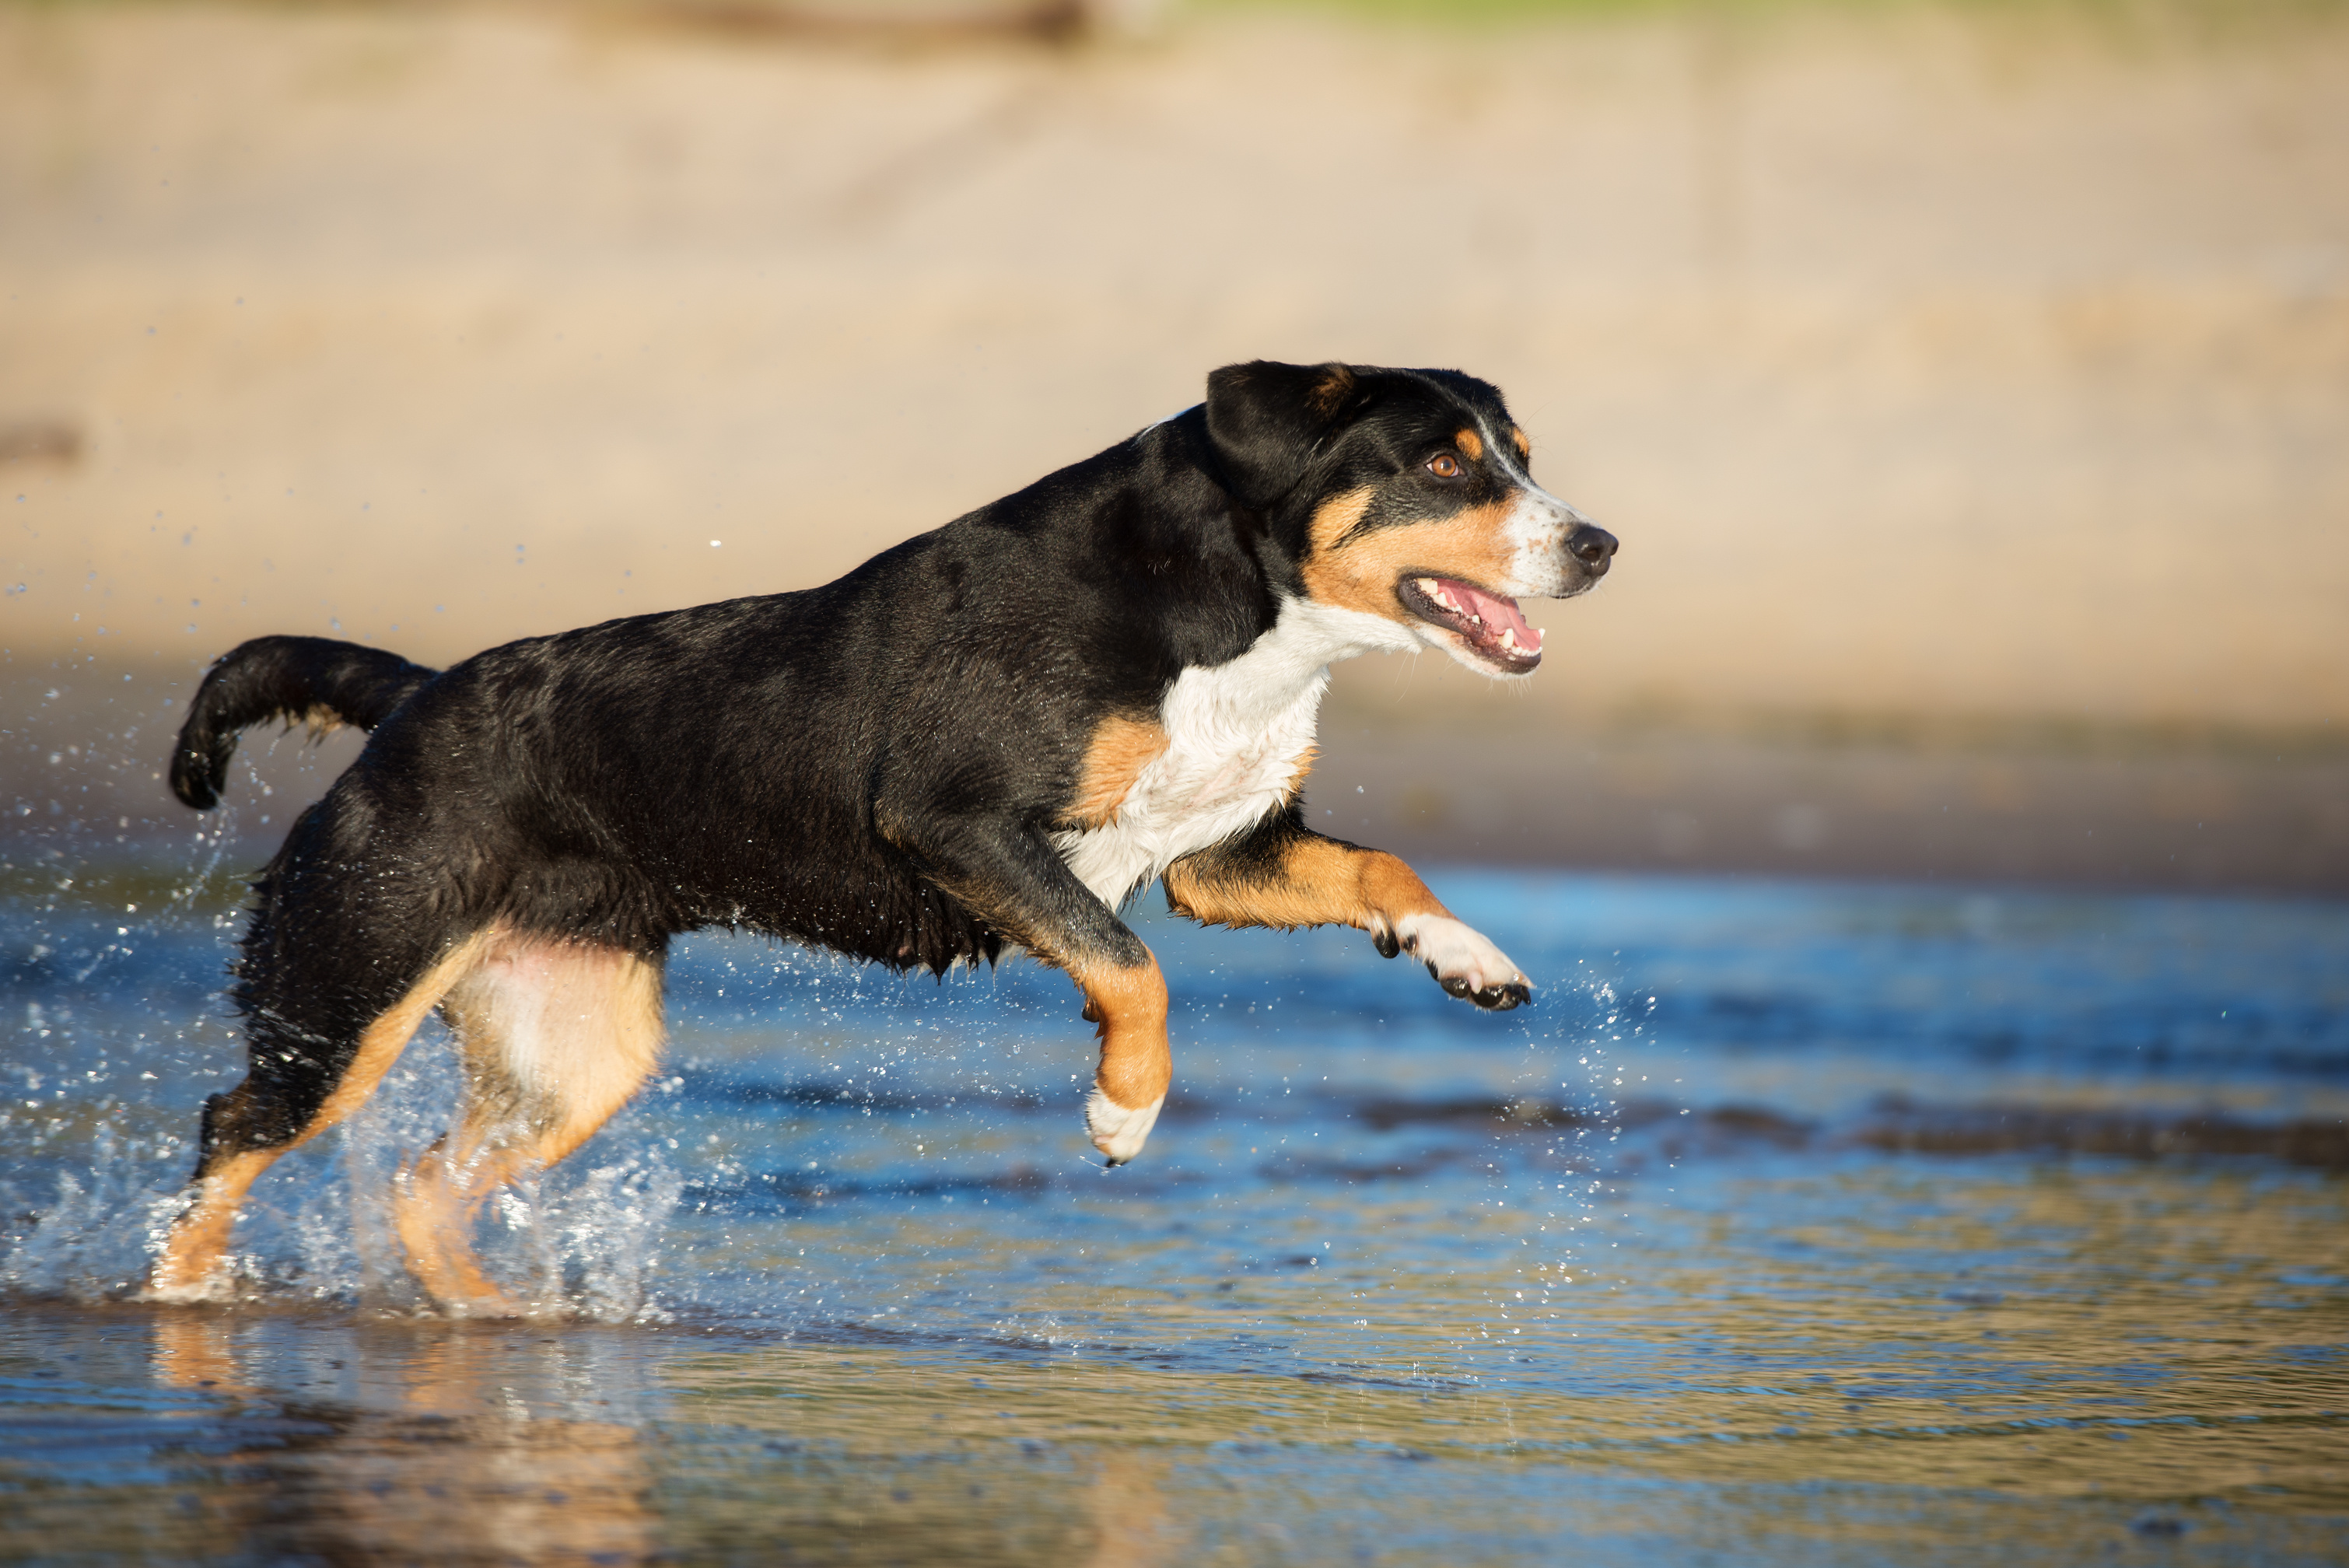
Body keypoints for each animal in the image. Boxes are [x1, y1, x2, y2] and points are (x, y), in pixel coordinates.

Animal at [146, 363, 1616, 1314]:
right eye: (1443, 464)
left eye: (1522, 454)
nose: (1600, 544)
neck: (1221, 616)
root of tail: (411, 695)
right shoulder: (960, 821)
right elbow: (1129, 970)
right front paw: (1124, 1110)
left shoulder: (1220, 850)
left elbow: (1376, 866)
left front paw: (1466, 953)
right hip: (348, 987)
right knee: (235, 1134)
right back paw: (179, 1312)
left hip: (578, 1057)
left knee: (420, 1187)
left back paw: (491, 1327)